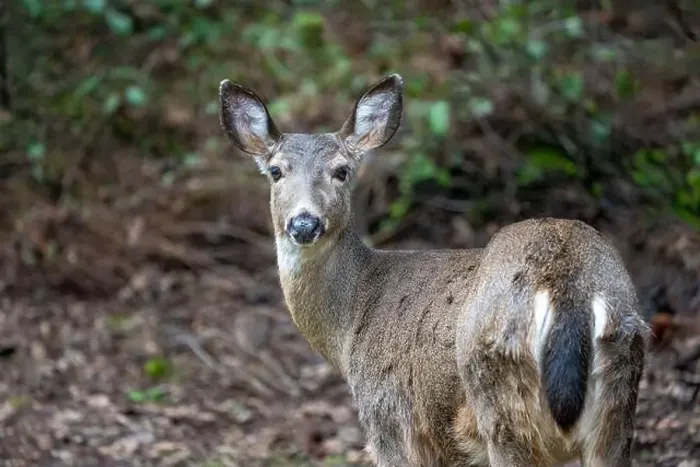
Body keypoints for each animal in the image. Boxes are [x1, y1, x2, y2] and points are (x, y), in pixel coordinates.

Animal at [218, 73, 650, 467]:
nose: (304, 223)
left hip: (498, 391)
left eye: (341, 170)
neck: (350, 320)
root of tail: (565, 282)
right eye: (276, 171)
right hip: (620, 392)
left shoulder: (389, 418)